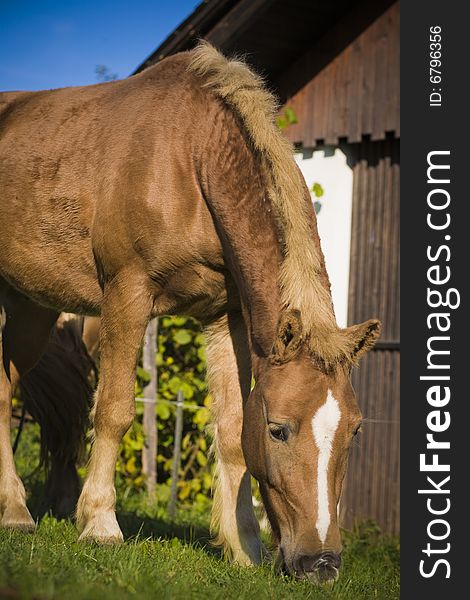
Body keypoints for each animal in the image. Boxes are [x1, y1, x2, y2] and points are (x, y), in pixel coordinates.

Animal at [0, 43, 380, 584]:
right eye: (279, 430)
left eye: (355, 430)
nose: (321, 564)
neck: (191, 156)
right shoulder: (127, 294)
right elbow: (114, 409)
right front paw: (99, 523)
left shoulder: (228, 318)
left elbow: (232, 431)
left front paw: (243, 547)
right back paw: (17, 512)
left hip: (30, 308)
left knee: (4, 387)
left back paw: (13, 510)